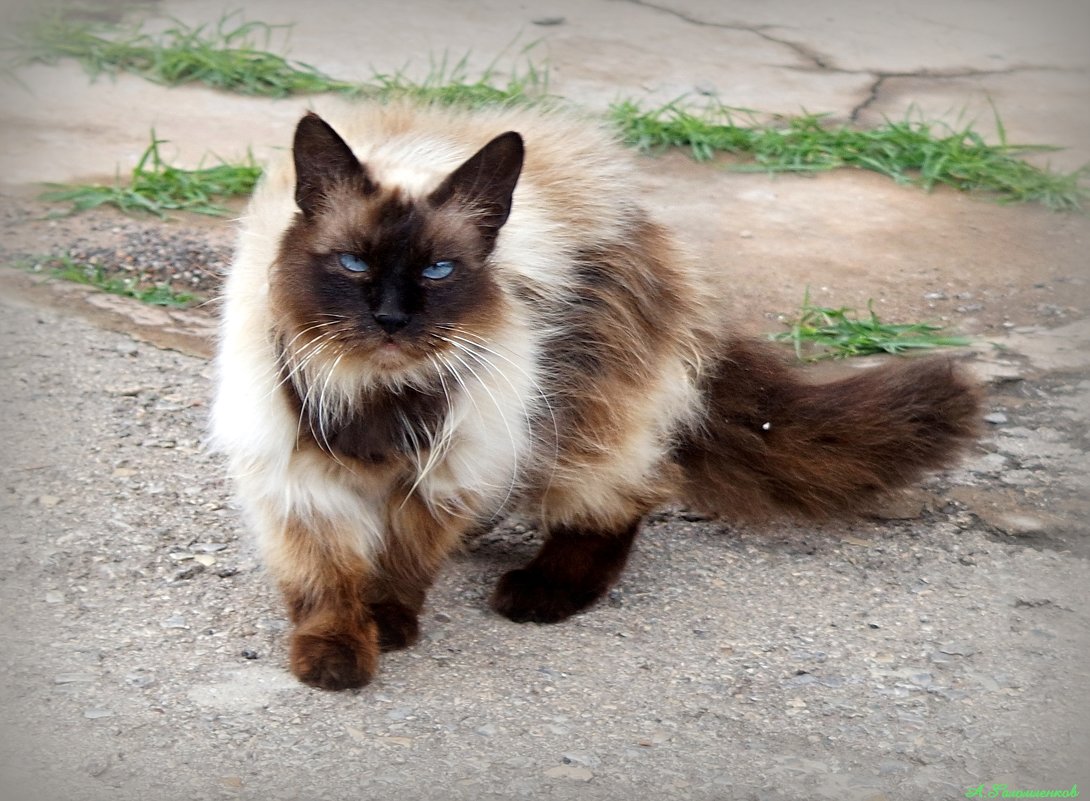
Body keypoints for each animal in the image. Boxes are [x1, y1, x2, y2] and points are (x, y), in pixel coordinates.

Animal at [210, 98, 981, 688]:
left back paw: (538, 592)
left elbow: (401, 562)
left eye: (436, 270)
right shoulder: (299, 478)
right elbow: (327, 581)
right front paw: (337, 659)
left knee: (628, 495)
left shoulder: (448, 466)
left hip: (577, 416)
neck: (376, 392)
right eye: (351, 263)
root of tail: (650, 227)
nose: (393, 319)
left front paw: (390, 626)